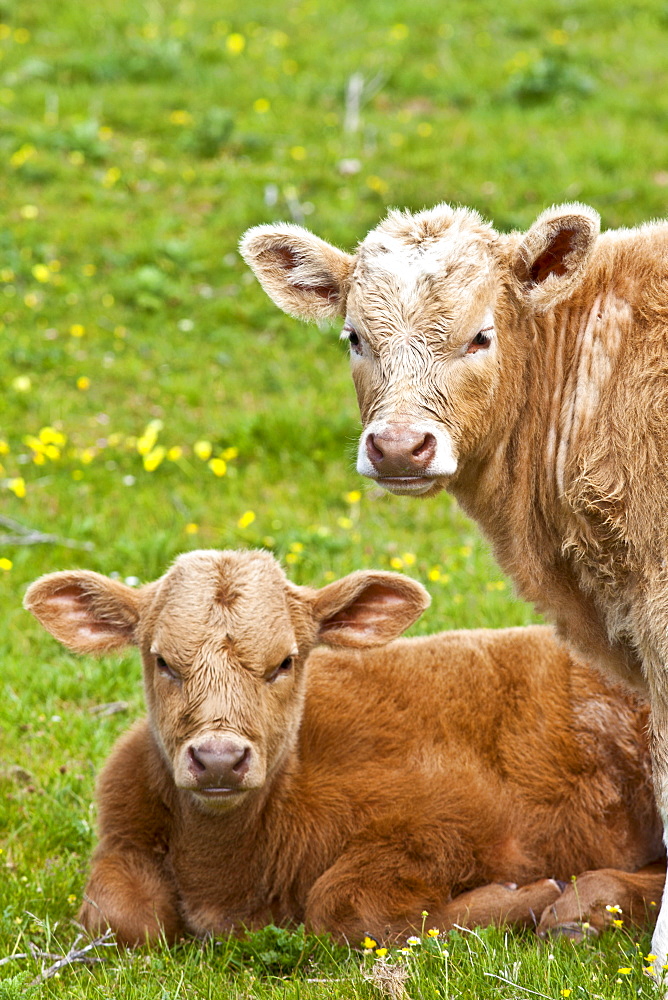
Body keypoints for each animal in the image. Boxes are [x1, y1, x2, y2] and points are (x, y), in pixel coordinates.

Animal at [24, 548, 664, 944]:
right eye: (162, 661)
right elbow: (121, 918)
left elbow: (345, 907)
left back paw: (583, 906)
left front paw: (522, 897)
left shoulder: (449, 821)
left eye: (285, 661)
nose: (219, 759)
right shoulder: (121, 830)